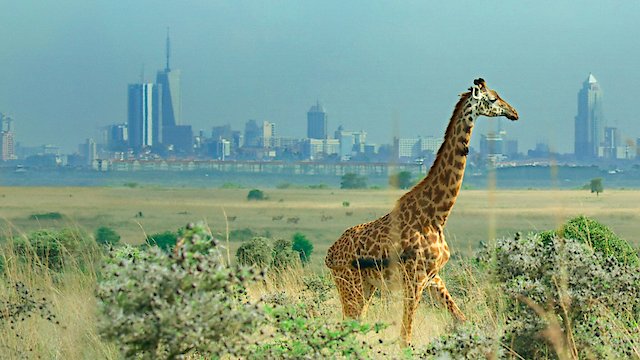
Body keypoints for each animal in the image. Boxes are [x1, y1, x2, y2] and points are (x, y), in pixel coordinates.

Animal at [324, 78, 520, 346]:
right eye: (492, 98)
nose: (514, 113)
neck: (436, 216)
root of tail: (329, 254)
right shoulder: (414, 278)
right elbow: (405, 336)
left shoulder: (433, 277)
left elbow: (462, 319)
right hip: (349, 284)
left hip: (365, 286)